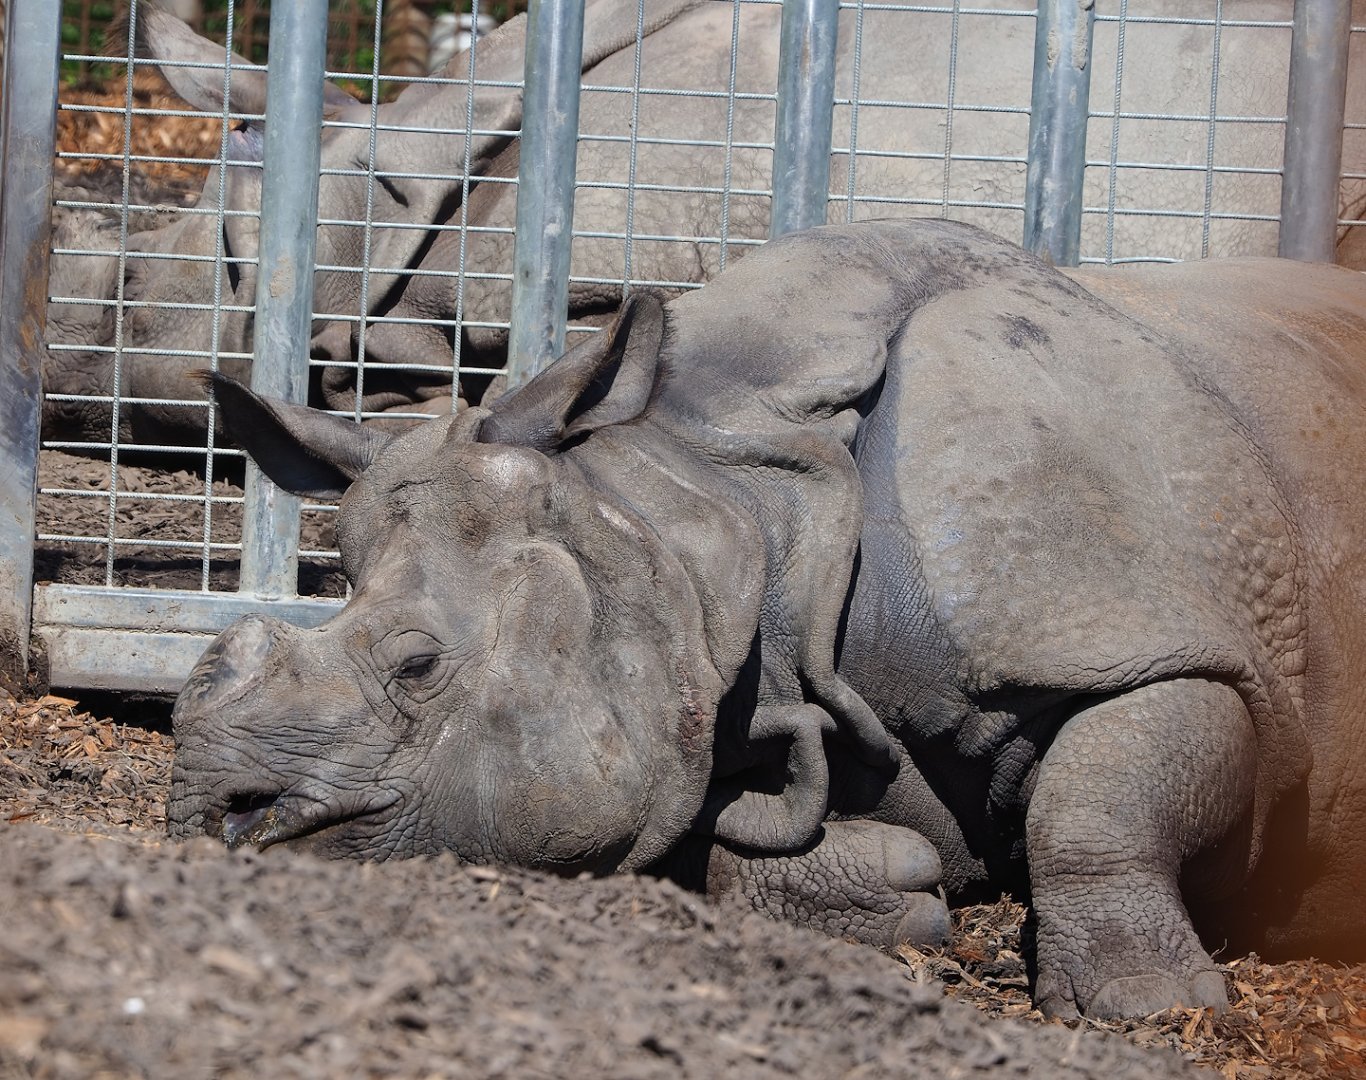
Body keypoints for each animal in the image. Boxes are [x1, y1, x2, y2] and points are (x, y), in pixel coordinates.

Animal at [168, 218, 1366, 1021]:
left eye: (417, 668)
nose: (212, 818)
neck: (725, 516)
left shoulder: (1145, 629)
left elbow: (1108, 790)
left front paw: (1147, 1007)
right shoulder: (697, 690)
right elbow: (730, 823)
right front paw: (897, 901)